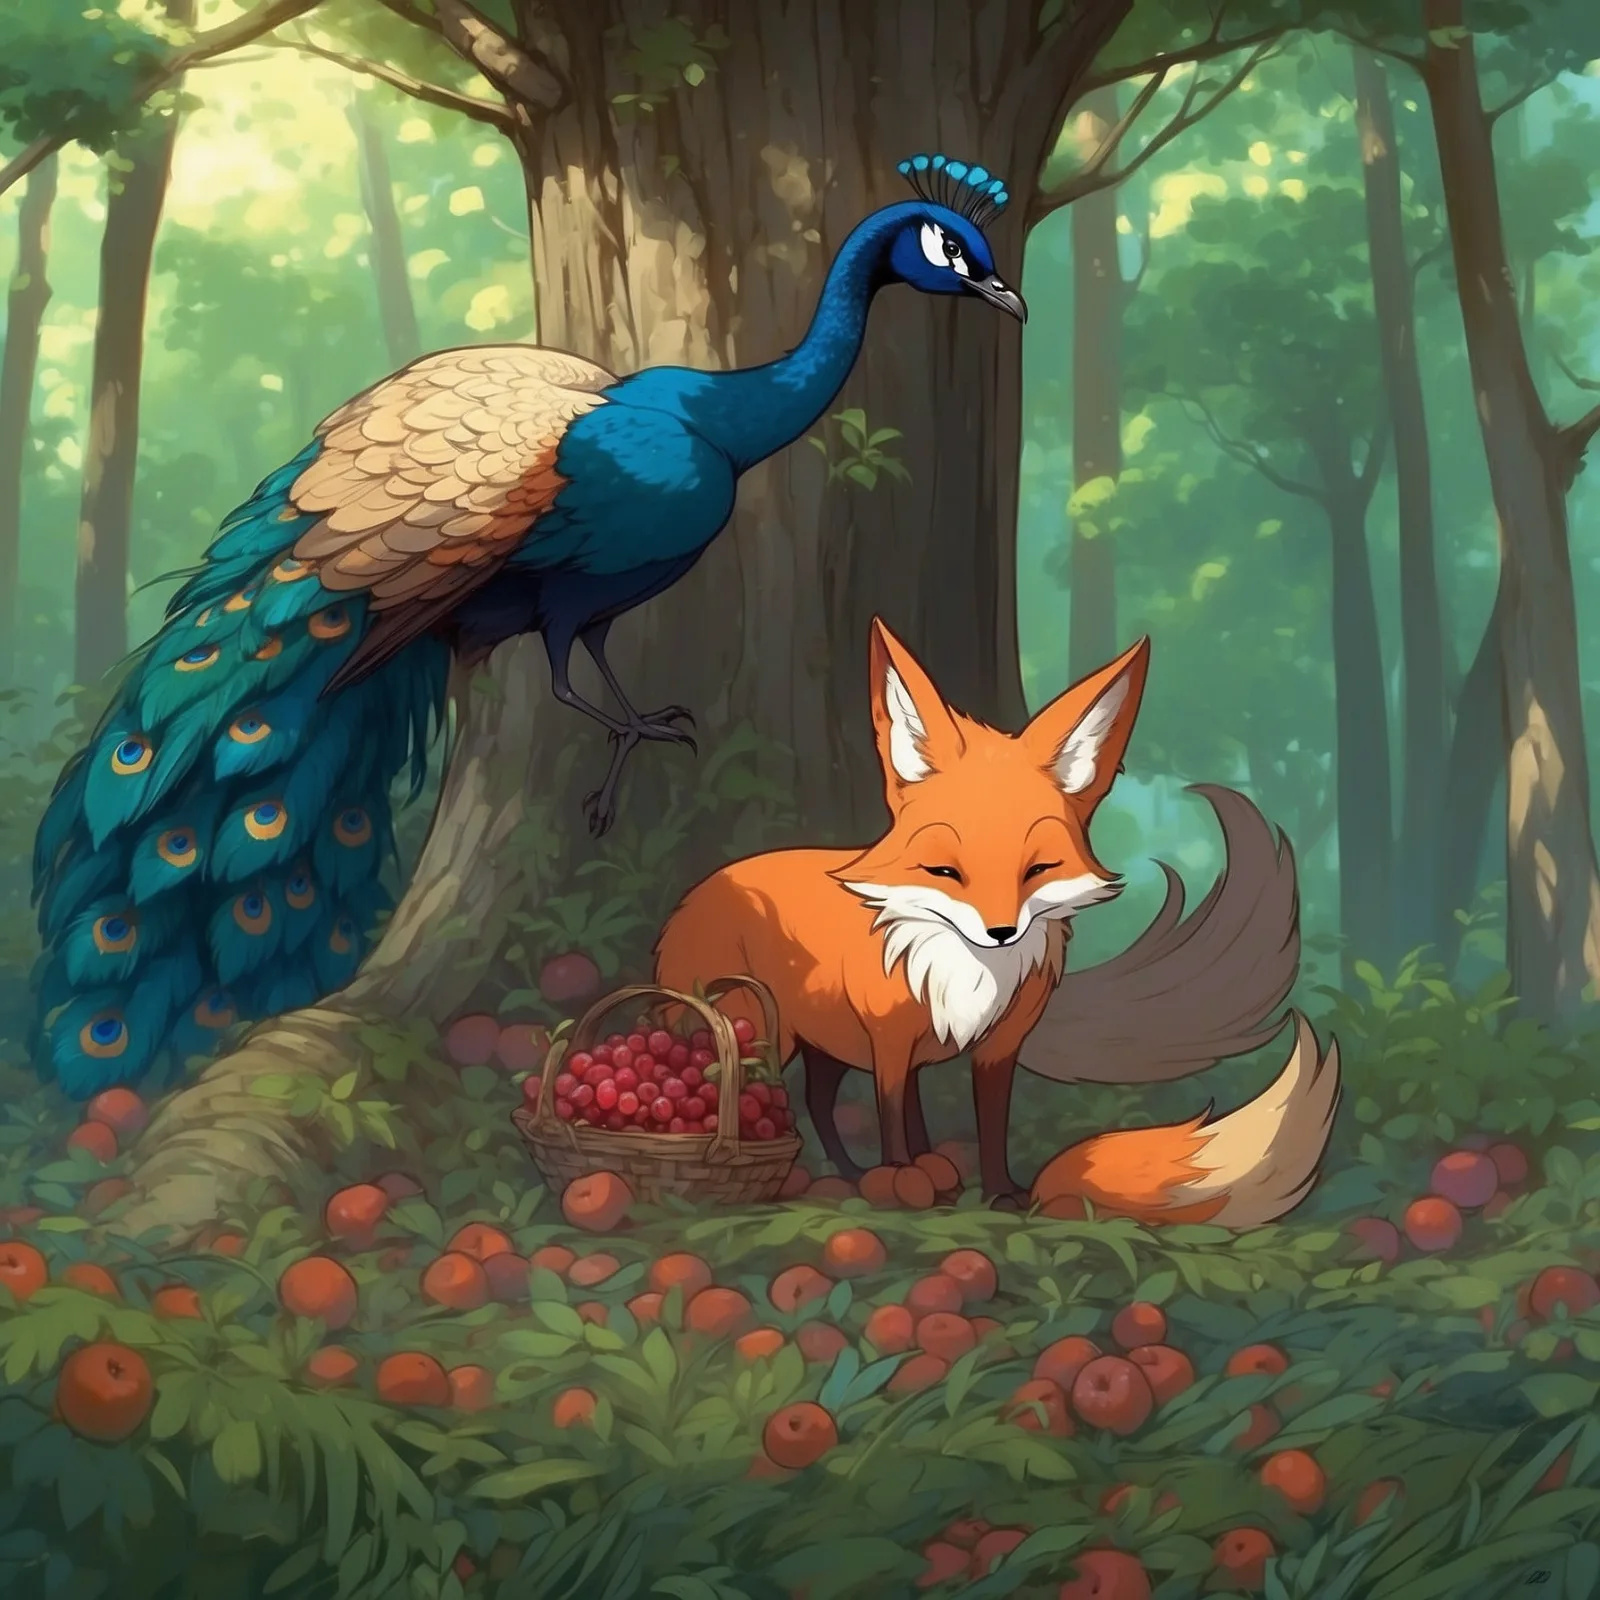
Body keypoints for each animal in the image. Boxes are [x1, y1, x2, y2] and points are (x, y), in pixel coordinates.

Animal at [653, 617, 1340, 1226]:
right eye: (944, 871)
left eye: (1037, 869)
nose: (1001, 932)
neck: (967, 974)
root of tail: (703, 887)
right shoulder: (891, 1042)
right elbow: (894, 1110)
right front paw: (902, 1176)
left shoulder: (993, 1046)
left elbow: (984, 1123)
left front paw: (995, 1192)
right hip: (766, 1031)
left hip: (825, 1045)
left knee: (818, 1101)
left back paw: (848, 1173)